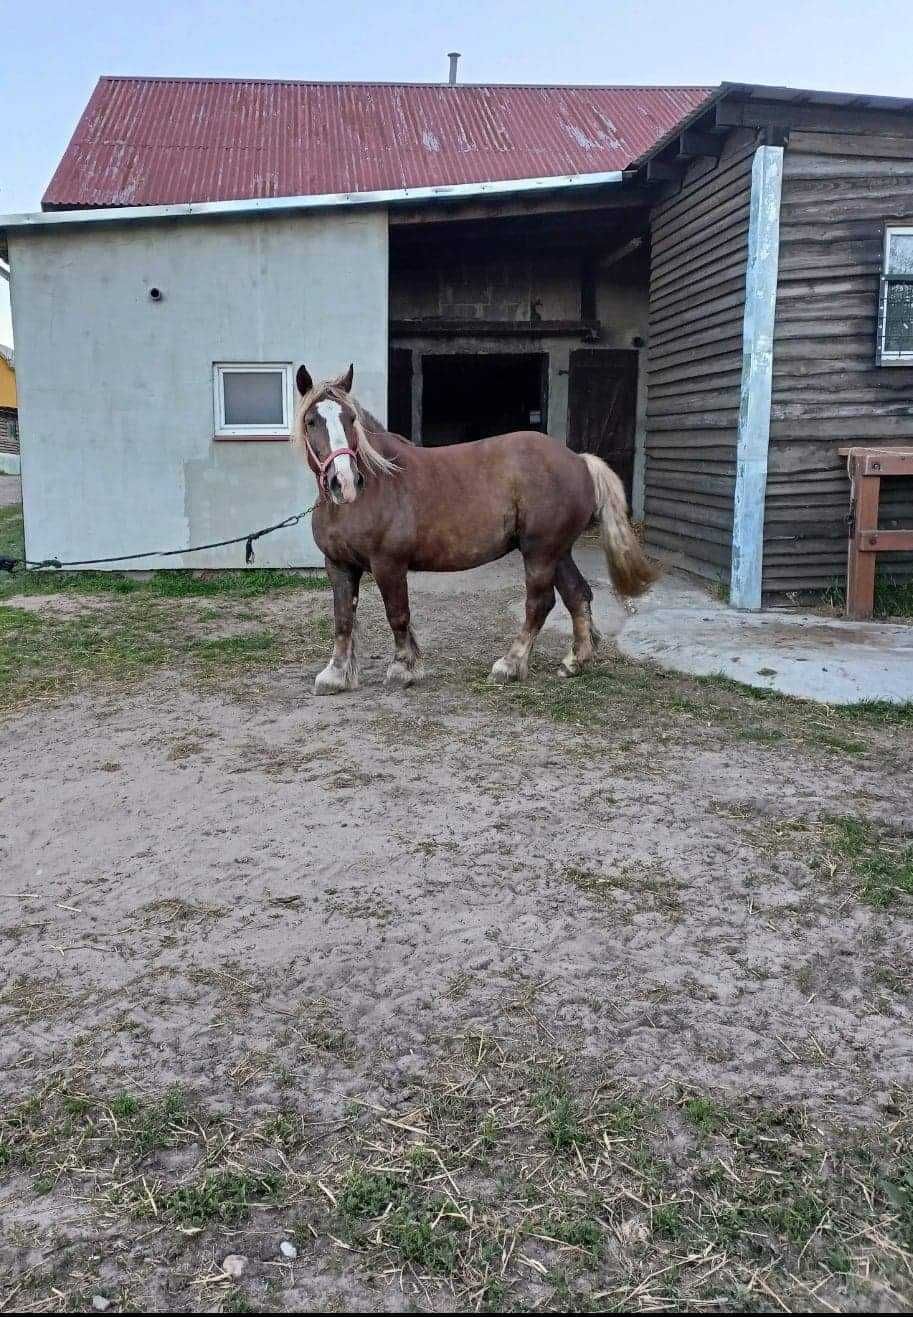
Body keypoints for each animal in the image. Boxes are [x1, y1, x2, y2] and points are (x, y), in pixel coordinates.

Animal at [292, 355, 656, 695]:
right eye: (311, 421)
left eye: (350, 419)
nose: (344, 482)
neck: (376, 485)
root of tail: (578, 460)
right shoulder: (338, 565)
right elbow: (343, 618)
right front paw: (336, 675)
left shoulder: (388, 565)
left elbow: (397, 615)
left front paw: (402, 669)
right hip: (558, 552)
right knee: (577, 595)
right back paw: (574, 662)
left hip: (540, 552)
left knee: (539, 604)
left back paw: (510, 665)